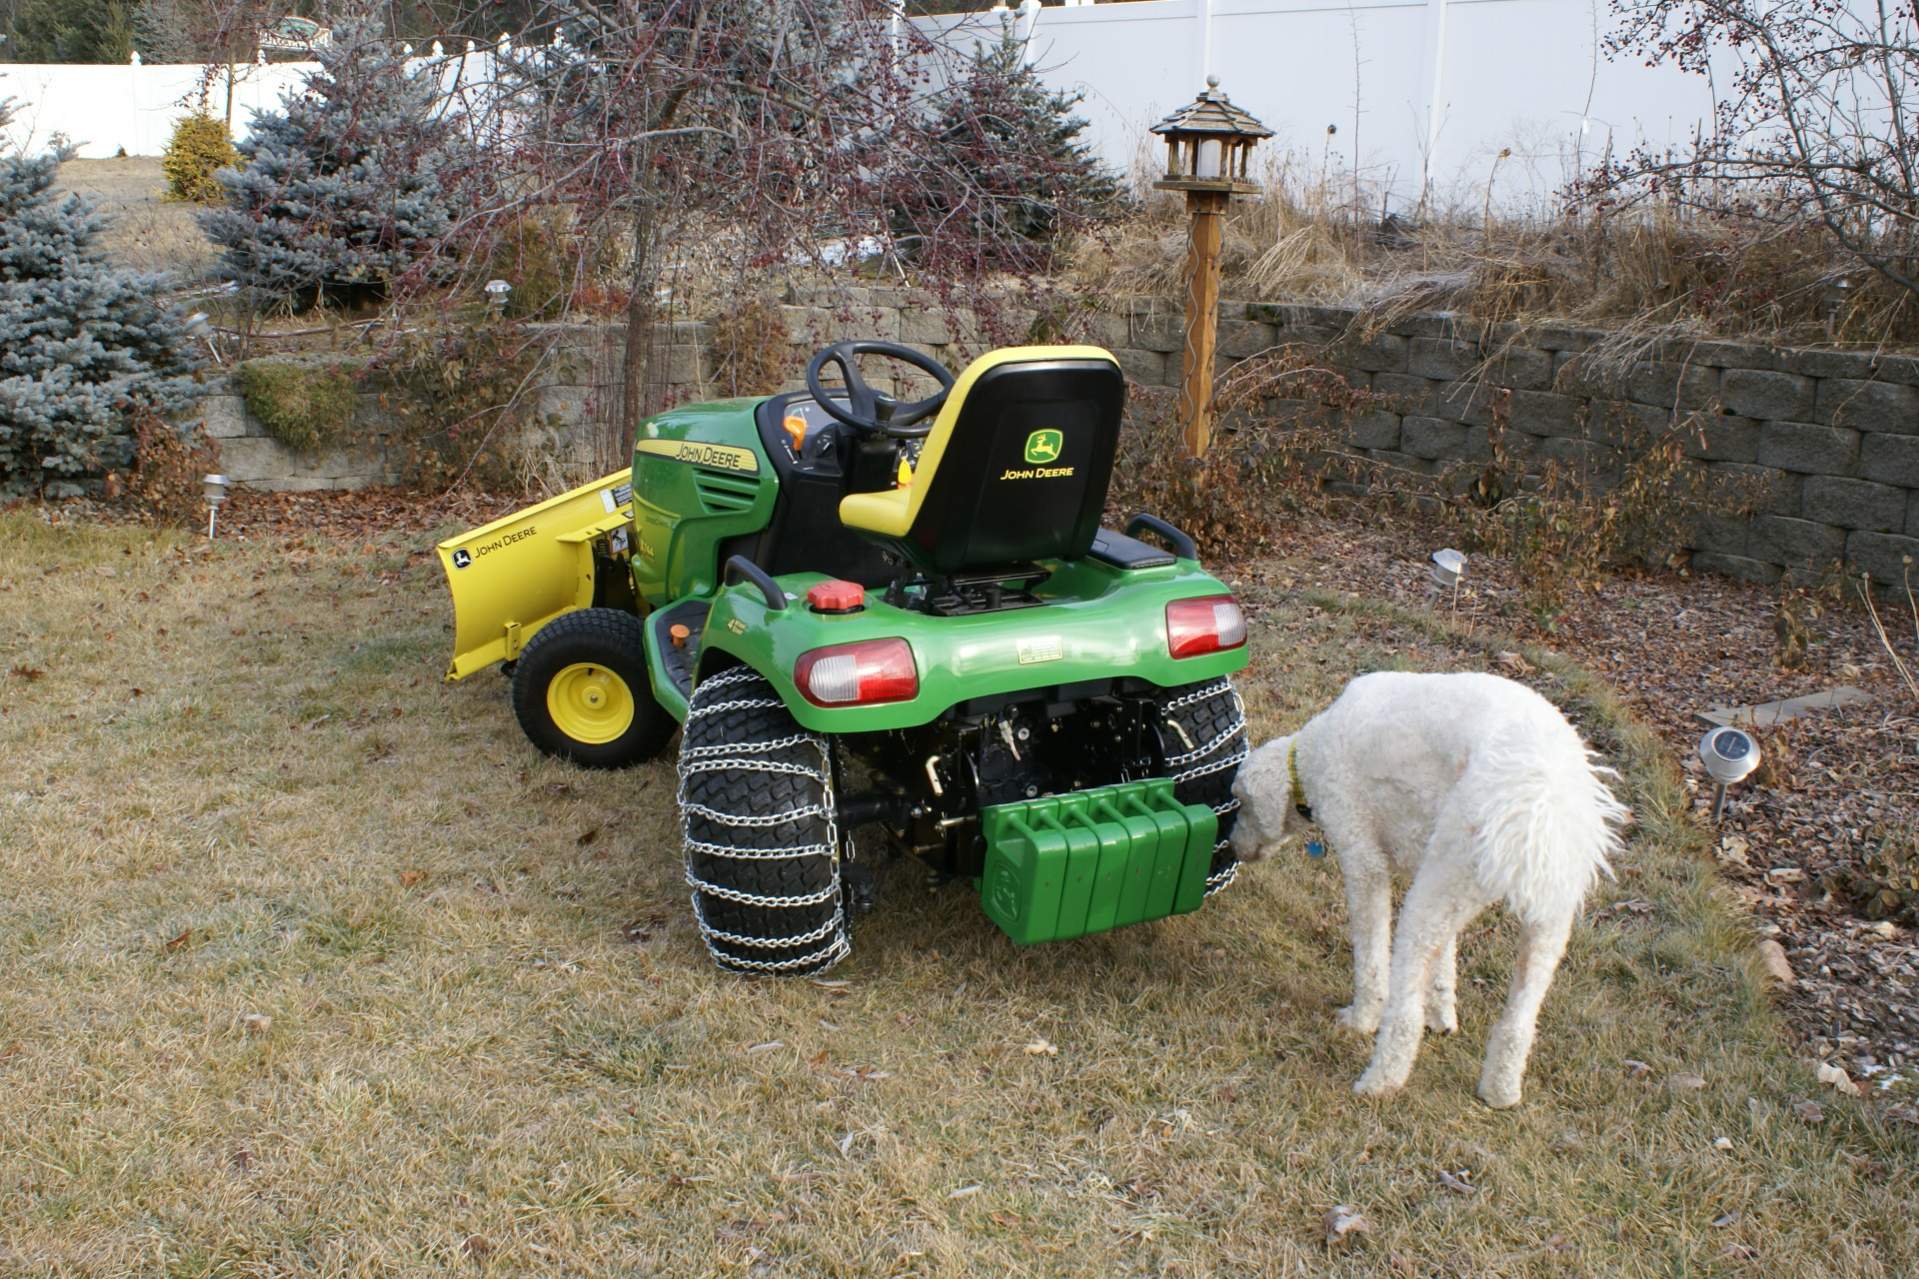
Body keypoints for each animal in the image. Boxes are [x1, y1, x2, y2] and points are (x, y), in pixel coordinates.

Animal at [1230, 671, 1627, 1107]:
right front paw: (1442, 1015)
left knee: (1405, 1013)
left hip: (1434, 893)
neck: (1308, 758)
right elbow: (1444, 960)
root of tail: (1542, 797)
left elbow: (1372, 963)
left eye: (1240, 805)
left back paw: (1380, 1080)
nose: (1232, 847)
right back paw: (1500, 1090)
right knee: (1520, 1019)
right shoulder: (1434, 875)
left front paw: (1362, 1020)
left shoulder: (1364, 860)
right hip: (1540, 918)